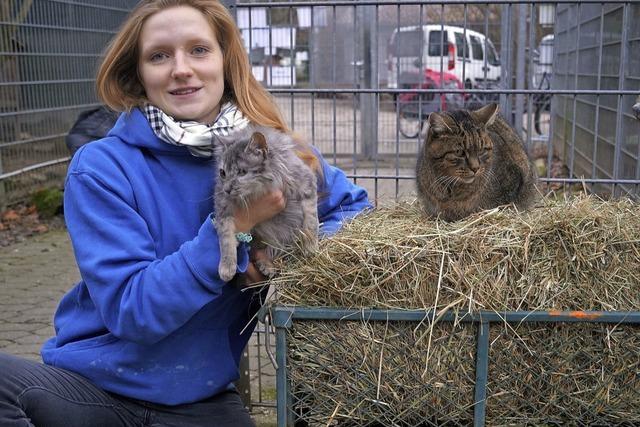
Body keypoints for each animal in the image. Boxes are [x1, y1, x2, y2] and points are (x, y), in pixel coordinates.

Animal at [214, 125, 318, 282]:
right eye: (222, 172)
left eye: (242, 172)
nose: (227, 189)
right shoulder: (223, 207)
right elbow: (226, 239)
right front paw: (227, 267)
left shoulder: (307, 184)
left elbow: (310, 223)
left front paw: (311, 247)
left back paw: (267, 265)